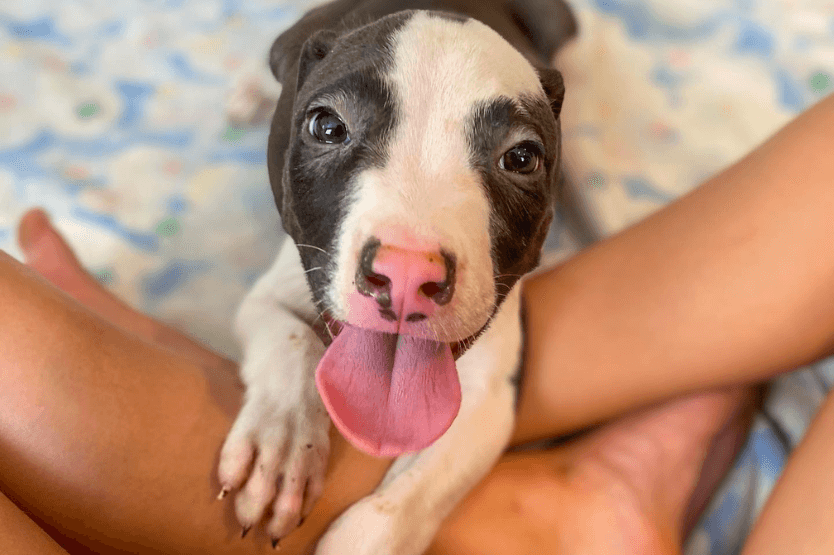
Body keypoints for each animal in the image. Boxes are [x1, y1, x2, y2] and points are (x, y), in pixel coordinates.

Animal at [218, 0, 576, 552]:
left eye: (521, 157)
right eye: (327, 127)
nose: (407, 274)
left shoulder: (492, 393)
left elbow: (406, 501)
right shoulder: (279, 287)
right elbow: (290, 339)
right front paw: (281, 445)